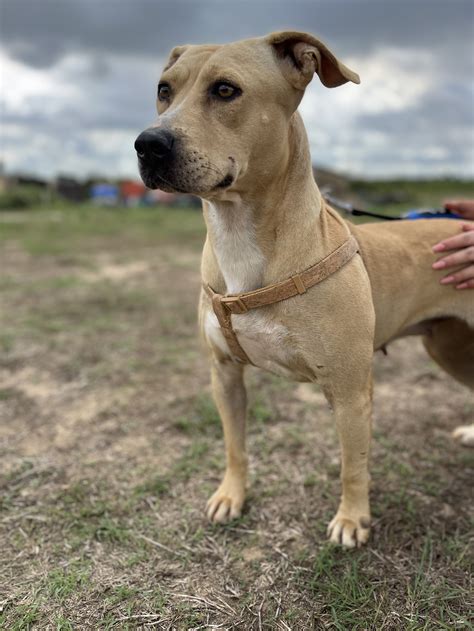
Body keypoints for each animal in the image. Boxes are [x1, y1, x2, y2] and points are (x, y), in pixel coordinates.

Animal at [134, 32, 474, 548]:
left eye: (226, 90)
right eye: (163, 90)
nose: (147, 145)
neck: (240, 236)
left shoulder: (350, 391)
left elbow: (353, 465)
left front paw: (352, 520)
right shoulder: (224, 374)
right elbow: (234, 445)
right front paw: (232, 496)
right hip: (450, 346)